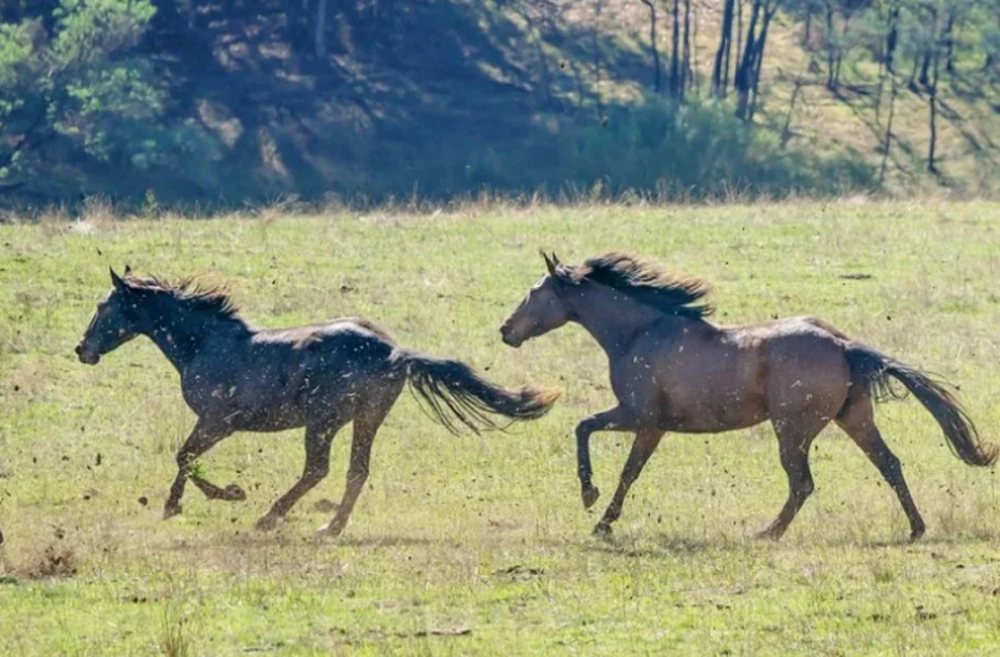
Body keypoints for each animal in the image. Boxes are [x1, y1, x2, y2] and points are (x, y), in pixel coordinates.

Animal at [76, 266, 564, 532]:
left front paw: (217, 496)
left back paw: (270, 516)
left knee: (318, 469)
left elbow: (185, 456)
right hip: (366, 419)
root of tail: (394, 352)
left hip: (322, 422)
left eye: (102, 308)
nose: (82, 349)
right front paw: (178, 503)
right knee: (356, 471)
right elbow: (186, 457)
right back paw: (330, 526)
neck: (205, 343)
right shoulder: (218, 423)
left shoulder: (218, 421)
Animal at [500, 251, 992, 540]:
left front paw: (596, 509)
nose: (506, 331)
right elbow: (598, 440)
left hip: (793, 429)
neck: (640, 332)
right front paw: (598, 510)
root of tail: (844, 345)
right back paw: (915, 528)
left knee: (802, 482)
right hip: (853, 418)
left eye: (533, 292)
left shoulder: (643, 419)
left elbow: (610, 455)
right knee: (888, 464)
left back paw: (766, 533)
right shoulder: (643, 421)